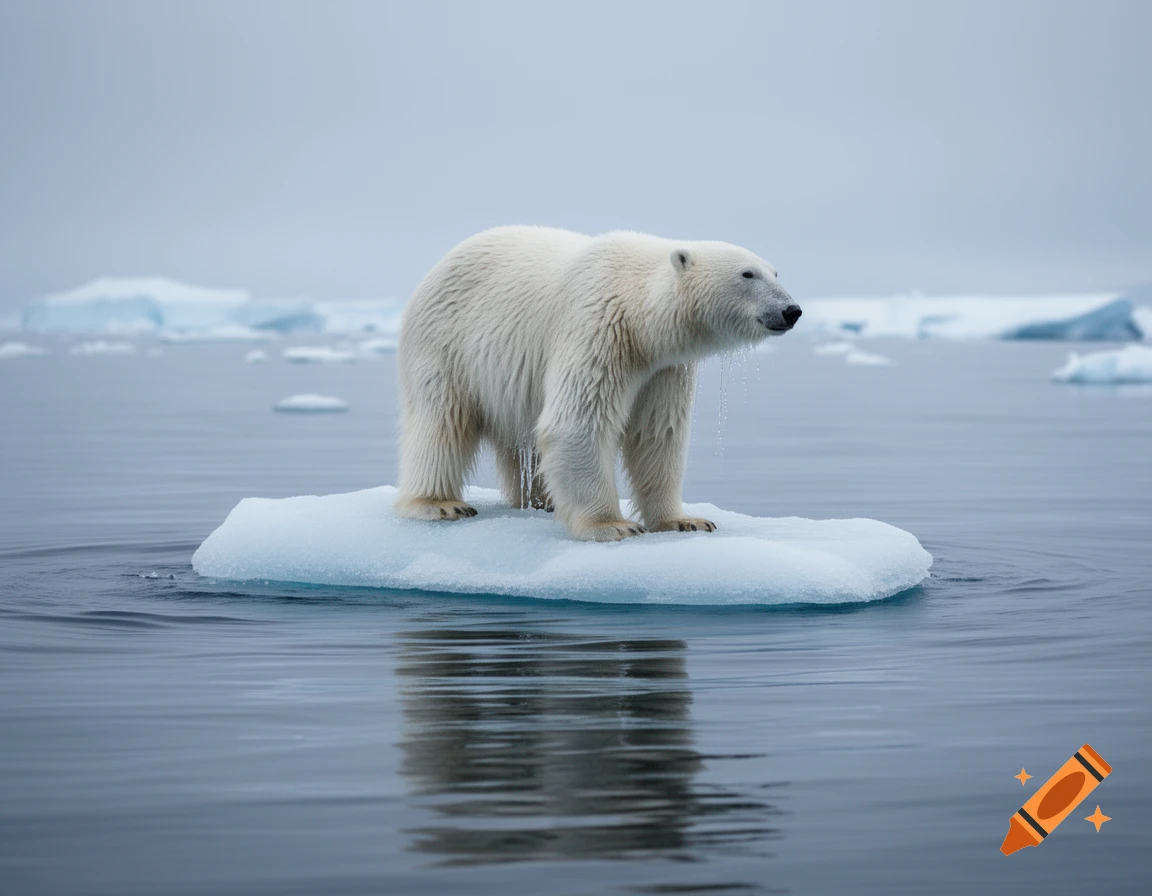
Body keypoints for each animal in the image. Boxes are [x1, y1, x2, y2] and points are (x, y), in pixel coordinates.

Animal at [394, 226, 801, 541]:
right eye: (748, 274)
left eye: (775, 273)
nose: (792, 310)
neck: (640, 314)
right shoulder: (598, 326)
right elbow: (577, 422)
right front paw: (612, 526)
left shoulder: (665, 368)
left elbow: (658, 434)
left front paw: (685, 520)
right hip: (447, 342)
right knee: (442, 420)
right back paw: (439, 504)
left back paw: (542, 501)